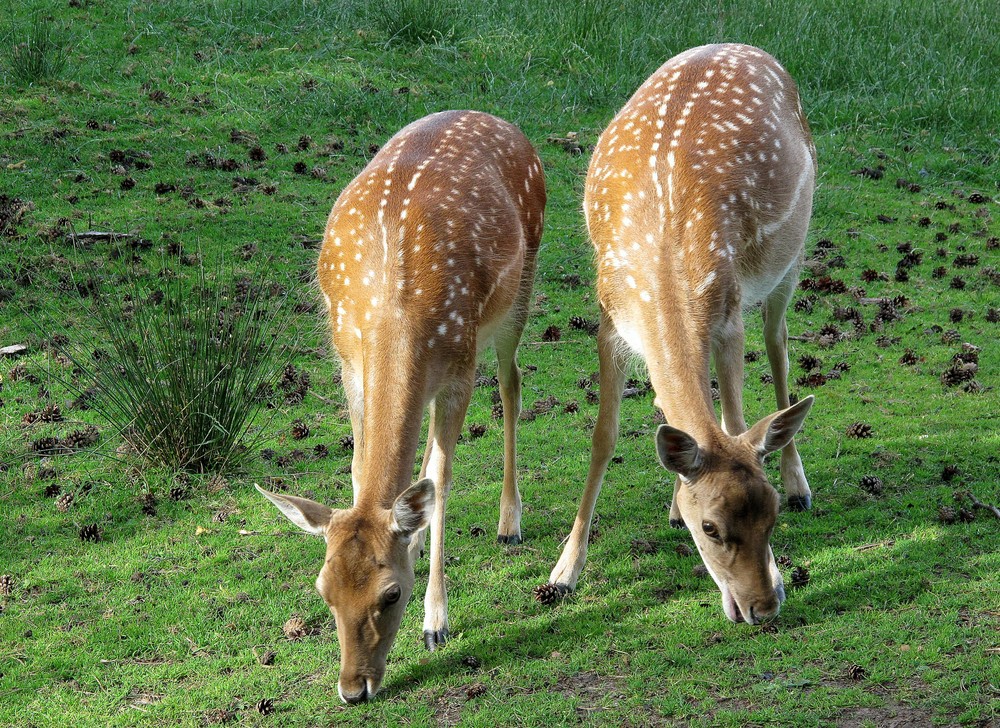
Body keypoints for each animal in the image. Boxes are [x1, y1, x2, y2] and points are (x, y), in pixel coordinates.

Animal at [254, 111, 544, 704]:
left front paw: (436, 622)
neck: (394, 311)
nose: (353, 688)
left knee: (511, 384)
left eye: (392, 593)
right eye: (323, 589)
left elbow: (441, 476)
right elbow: (359, 466)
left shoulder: (458, 367)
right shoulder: (350, 364)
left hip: (520, 290)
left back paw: (509, 521)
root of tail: (498, 120)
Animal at [544, 44, 816, 624]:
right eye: (710, 527)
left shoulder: (729, 314)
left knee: (779, 343)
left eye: (772, 517)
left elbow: (734, 421)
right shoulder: (610, 320)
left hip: (792, 254)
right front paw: (564, 571)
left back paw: (800, 482)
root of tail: (748, 47)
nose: (764, 606)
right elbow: (604, 436)